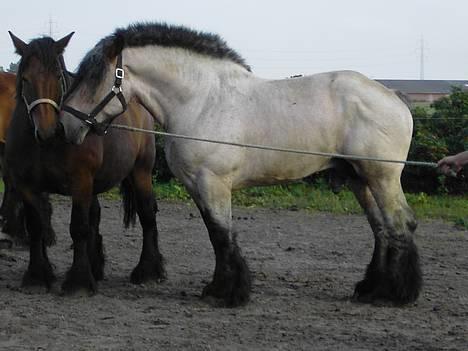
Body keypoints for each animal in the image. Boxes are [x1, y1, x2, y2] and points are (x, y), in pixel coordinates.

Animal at [6, 33, 165, 292]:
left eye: (58, 76)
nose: (48, 129)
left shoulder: (80, 181)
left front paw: (78, 281)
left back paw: (148, 270)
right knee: (95, 216)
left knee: (147, 214)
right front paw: (38, 274)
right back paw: (96, 266)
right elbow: (37, 226)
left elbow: (78, 227)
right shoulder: (28, 186)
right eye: (26, 79)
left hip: (140, 172)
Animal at [60, 22, 422, 308]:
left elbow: (222, 235)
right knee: (381, 229)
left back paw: (395, 293)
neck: (202, 101)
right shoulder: (197, 185)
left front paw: (228, 292)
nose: (66, 124)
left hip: (382, 178)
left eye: (94, 77)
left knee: (400, 225)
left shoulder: (213, 183)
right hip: (360, 180)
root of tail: (394, 97)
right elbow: (215, 234)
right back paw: (371, 288)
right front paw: (220, 288)